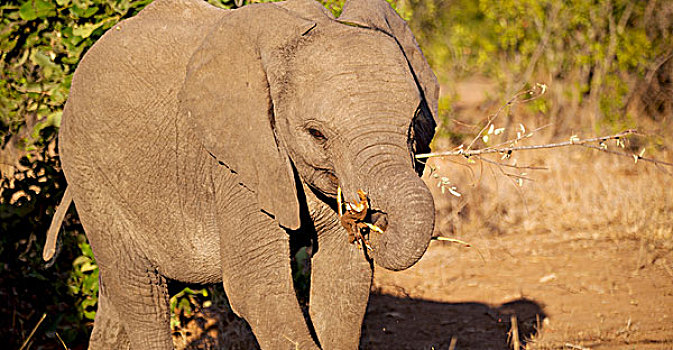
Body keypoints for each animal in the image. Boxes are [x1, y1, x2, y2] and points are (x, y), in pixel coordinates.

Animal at [44, 0, 438, 348]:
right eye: (317, 134)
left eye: (414, 123)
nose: (366, 217)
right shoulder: (236, 160)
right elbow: (258, 288)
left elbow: (345, 279)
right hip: (88, 173)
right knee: (141, 293)